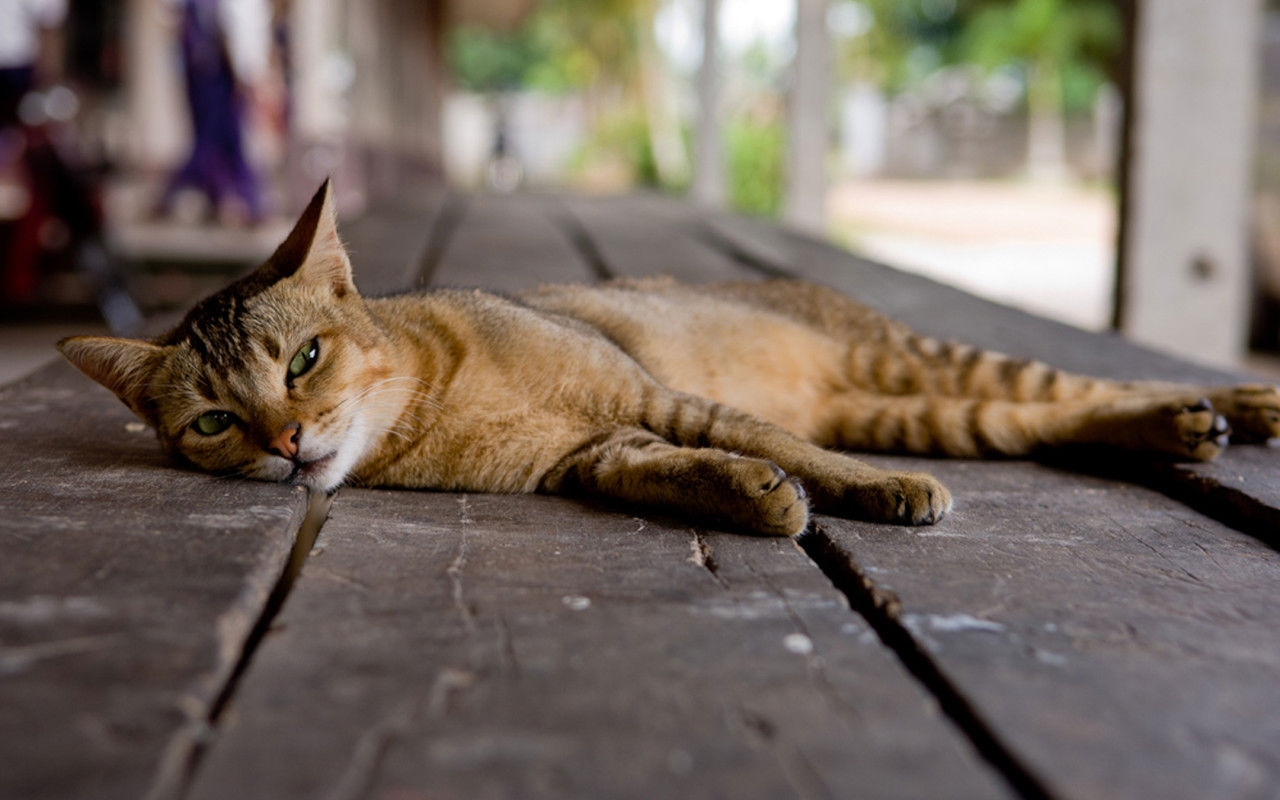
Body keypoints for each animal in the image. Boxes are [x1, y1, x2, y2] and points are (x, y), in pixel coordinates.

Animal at [57, 177, 1280, 532]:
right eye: (215, 422)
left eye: (303, 358)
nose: (288, 441)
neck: (432, 403)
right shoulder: (595, 450)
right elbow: (670, 469)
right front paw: (753, 497)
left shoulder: (661, 395)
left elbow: (778, 441)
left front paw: (854, 489)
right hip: (926, 405)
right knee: (1038, 419)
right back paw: (1182, 427)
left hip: (919, 363)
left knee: (1071, 382)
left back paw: (1227, 401)